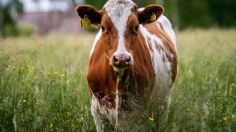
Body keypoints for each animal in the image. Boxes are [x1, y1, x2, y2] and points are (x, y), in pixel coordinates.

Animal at [75, 0, 177, 130]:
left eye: (136, 26)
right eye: (103, 27)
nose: (122, 58)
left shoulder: (138, 115)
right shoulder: (98, 113)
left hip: (164, 103)